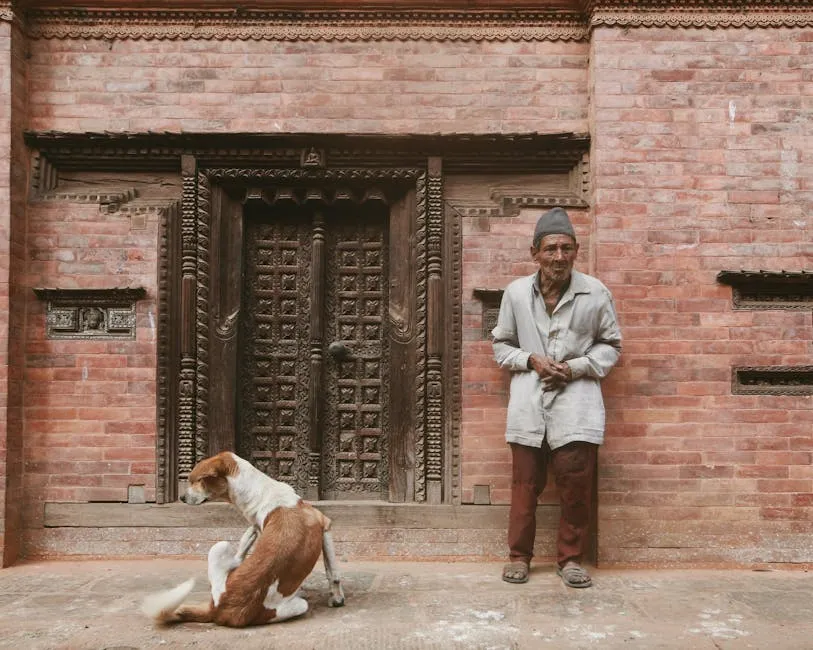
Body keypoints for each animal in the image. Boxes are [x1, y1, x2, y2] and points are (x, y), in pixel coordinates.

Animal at [141, 450, 344, 624]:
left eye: (198, 481)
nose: (182, 498)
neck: (261, 492)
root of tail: (218, 608)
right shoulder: (326, 525)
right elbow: (333, 572)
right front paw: (337, 598)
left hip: (219, 551)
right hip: (296, 603)